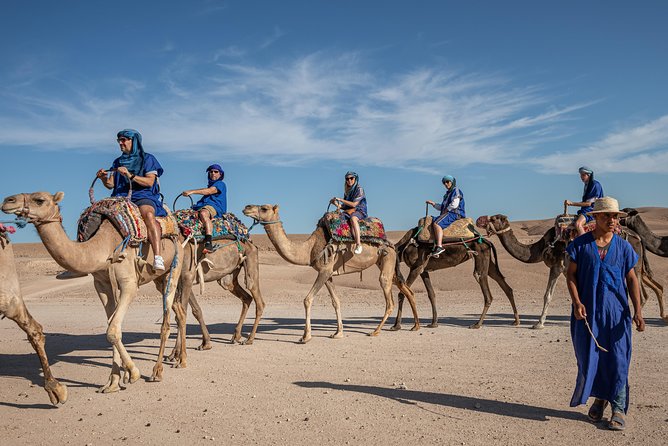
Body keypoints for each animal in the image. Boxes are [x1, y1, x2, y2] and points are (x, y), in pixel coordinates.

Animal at [242, 204, 420, 342]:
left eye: (264, 208)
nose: (246, 207)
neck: (308, 249)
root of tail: (391, 244)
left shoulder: (324, 270)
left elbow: (307, 299)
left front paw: (306, 337)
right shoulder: (328, 274)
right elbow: (336, 301)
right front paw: (338, 333)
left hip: (387, 260)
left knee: (389, 297)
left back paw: (376, 331)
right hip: (386, 262)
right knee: (405, 289)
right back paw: (415, 326)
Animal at [477, 214, 665, 327]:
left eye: (494, 218)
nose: (479, 220)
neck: (542, 245)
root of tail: (638, 238)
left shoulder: (557, 266)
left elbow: (550, 295)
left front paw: (539, 323)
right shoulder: (564, 269)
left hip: (633, 266)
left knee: (639, 293)